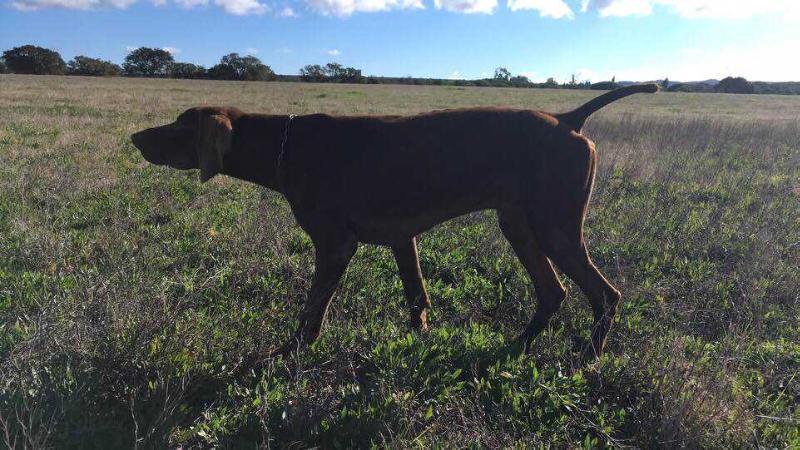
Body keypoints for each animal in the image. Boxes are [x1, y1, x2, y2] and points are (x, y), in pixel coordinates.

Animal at [131, 83, 656, 358]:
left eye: (180, 124)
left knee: (604, 295)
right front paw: (420, 338)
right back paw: (516, 347)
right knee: (554, 292)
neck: (285, 144)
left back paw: (586, 361)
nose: (135, 138)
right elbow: (416, 297)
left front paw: (291, 353)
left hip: (553, 227)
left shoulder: (335, 245)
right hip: (520, 225)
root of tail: (569, 118)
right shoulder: (403, 240)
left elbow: (313, 309)